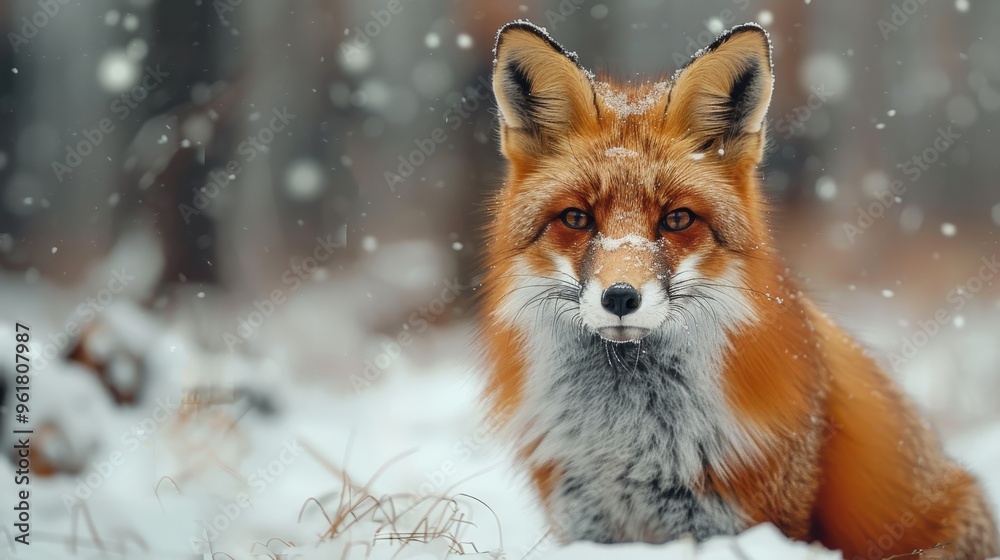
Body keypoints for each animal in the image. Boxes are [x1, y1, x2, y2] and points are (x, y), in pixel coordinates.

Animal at [478, 20, 999, 559]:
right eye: (576, 219)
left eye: (677, 219)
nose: (620, 297)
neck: (629, 438)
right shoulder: (585, 522)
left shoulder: (741, 521)